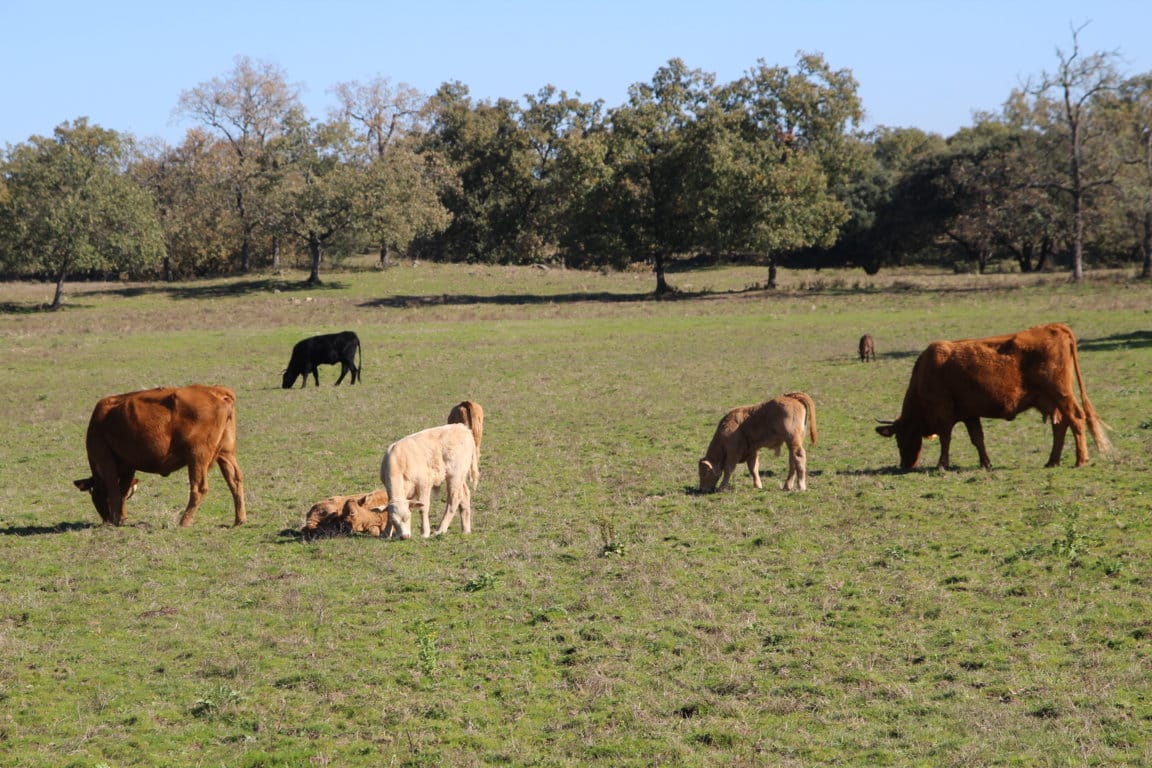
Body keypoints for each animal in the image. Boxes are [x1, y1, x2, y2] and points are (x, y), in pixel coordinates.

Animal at [73, 384, 246, 529]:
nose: (106, 520)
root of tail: (216, 391)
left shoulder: (104, 459)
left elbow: (115, 492)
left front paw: (115, 520)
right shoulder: (129, 466)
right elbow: (121, 491)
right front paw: (121, 518)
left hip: (198, 456)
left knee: (199, 488)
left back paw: (184, 521)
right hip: (226, 454)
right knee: (235, 480)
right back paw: (239, 520)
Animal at [380, 402, 483, 541]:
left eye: (408, 517)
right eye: (394, 521)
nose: (404, 536)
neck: (399, 461)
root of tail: (462, 428)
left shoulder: (424, 484)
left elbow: (423, 507)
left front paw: (425, 532)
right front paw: (386, 533)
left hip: (454, 476)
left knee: (454, 499)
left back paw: (440, 530)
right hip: (460, 476)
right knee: (465, 495)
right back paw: (465, 530)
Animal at [875, 322, 1110, 472]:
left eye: (901, 437)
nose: (905, 465)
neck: (926, 370)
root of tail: (1053, 327)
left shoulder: (944, 413)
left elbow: (945, 438)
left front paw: (942, 464)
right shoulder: (969, 414)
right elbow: (977, 439)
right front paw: (985, 463)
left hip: (1061, 394)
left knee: (1076, 419)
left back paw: (1080, 460)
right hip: (1050, 401)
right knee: (1060, 426)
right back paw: (1052, 461)